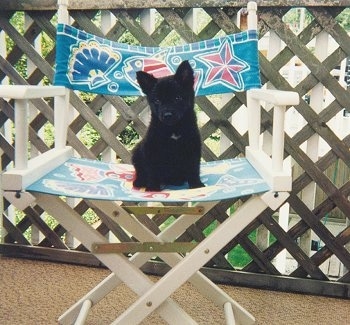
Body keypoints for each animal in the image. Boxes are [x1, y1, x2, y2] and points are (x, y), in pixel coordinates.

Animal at [132, 60, 204, 190]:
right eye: (157, 100)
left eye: (177, 98)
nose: (167, 115)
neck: (173, 129)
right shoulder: (151, 149)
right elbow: (152, 171)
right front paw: (152, 188)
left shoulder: (193, 147)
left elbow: (194, 168)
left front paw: (196, 185)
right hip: (137, 153)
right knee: (141, 172)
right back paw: (140, 181)